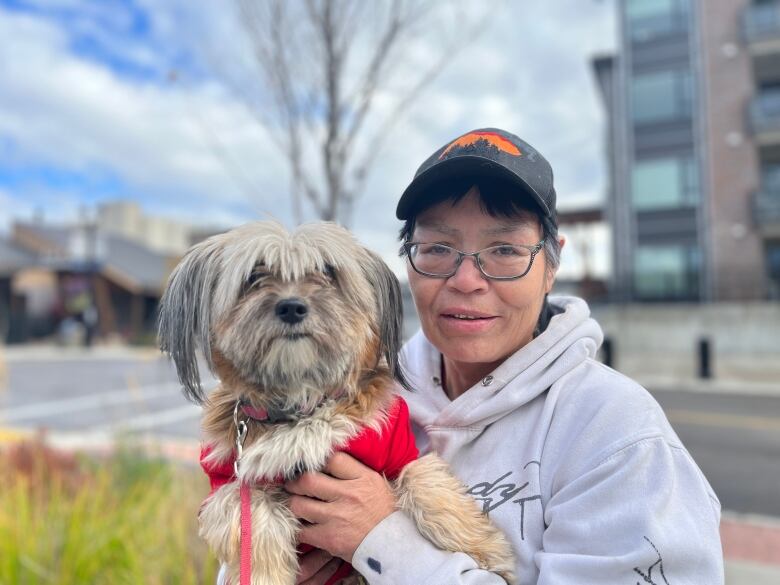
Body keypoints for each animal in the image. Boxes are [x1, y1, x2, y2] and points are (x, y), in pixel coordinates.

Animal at [158, 221, 516, 580]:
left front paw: (486, 550)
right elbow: (255, 526)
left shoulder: (399, 450)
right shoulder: (230, 485)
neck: (303, 405)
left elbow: (426, 481)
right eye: (254, 275)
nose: (291, 307)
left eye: (327, 271)